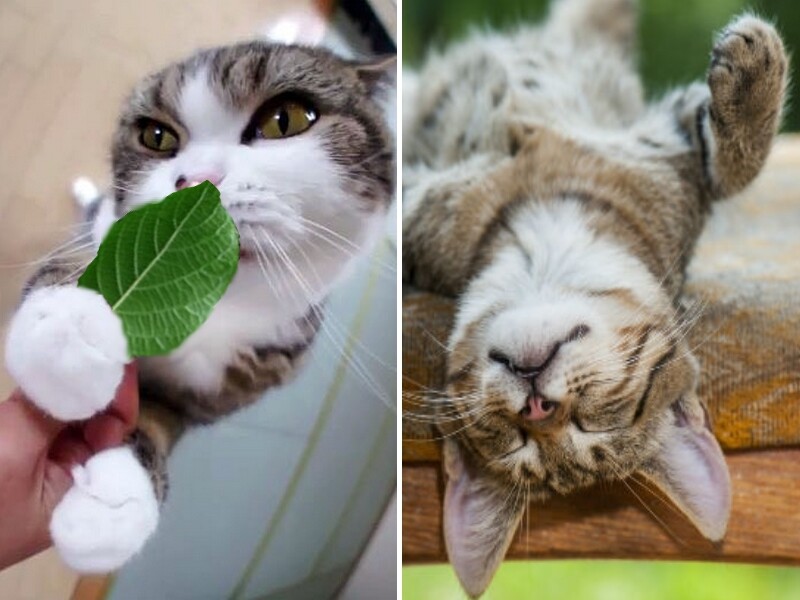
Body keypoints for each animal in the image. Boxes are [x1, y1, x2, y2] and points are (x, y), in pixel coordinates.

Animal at [6, 41, 394, 572]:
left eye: (286, 120)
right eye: (156, 136)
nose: (195, 184)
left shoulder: (217, 387)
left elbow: (156, 422)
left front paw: (114, 502)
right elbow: (83, 259)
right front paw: (70, 329)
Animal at [404, 0, 784, 596]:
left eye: (591, 425)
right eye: (516, 439)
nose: (537, 405)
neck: (542, 223)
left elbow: (730, 169)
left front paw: (753, 74)